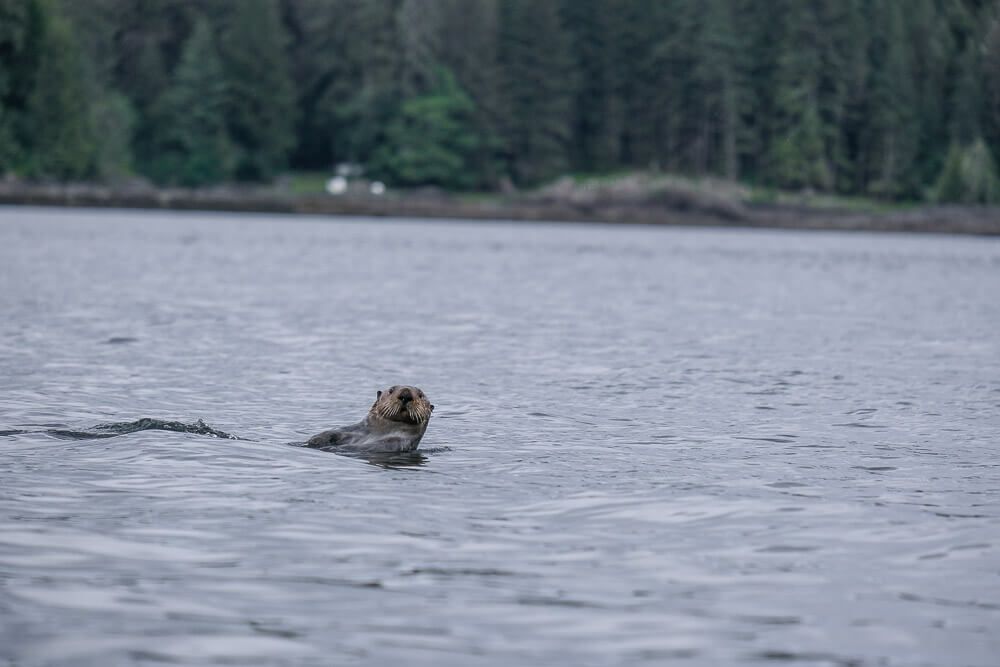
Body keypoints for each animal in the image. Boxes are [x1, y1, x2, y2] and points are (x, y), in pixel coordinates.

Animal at [302, 386, 432, 454]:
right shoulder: (354, 429)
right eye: (391, 390)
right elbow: (334, 431)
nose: (406, 395)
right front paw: (317, 439)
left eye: (420, 395)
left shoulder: (393, 443)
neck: (379, 432)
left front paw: (334, 448)